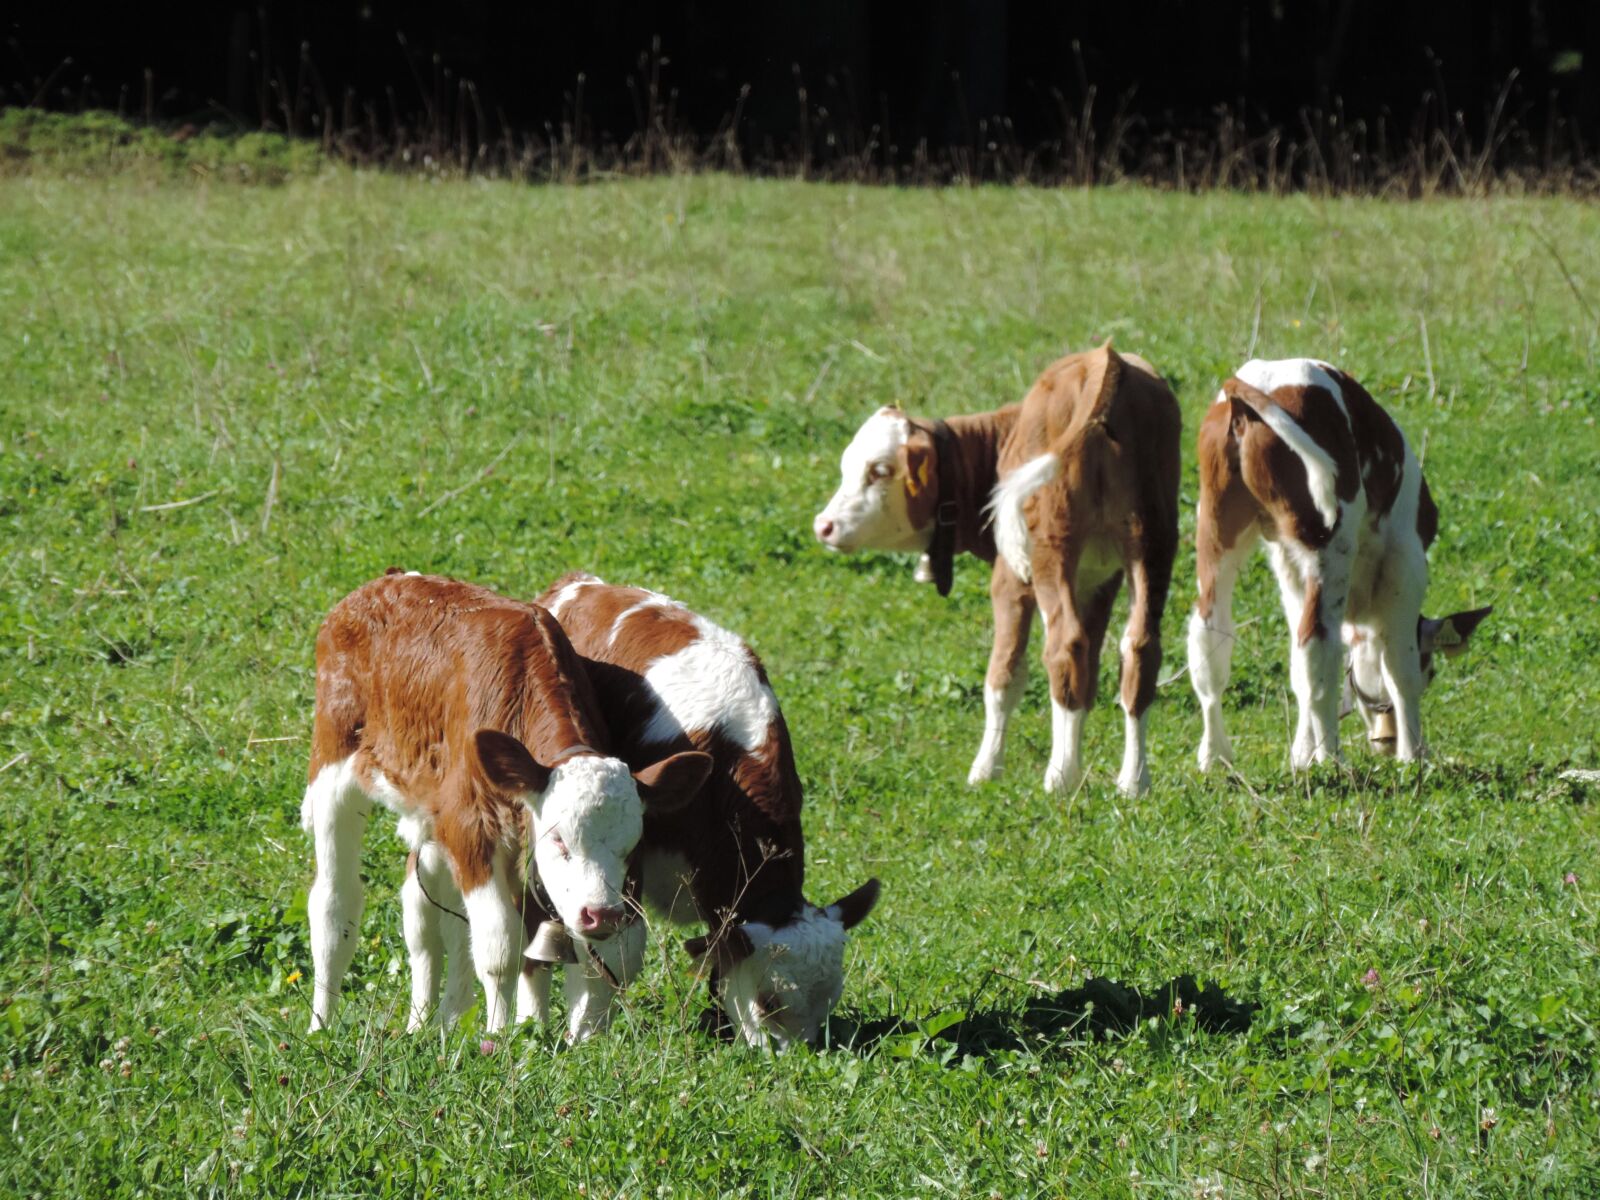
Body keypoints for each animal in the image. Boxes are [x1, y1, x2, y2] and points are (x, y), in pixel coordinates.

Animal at [304, 569, 707, 1036]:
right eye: (559, 840)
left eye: (633, 846)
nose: (602, 914)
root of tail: (386, 581)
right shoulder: (469, 828)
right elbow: (500, 948)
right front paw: (499, 1037)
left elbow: (586, 956)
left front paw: (567, 1035)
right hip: (334, 765)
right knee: (335, 903)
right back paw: (322, 1026)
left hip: (428, 818)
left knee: (427, 919)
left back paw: (432, 1023)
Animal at [819, 342, 1184, 800]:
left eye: (879, 470)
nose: (823, 525)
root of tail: (1106, 361)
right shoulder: (1099, 579)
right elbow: (1088, 678)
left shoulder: (1010, 578)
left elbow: (1003, 676)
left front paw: (986, 769)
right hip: (1152, 541)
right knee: (1139, 649)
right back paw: (1134, 781)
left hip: (1048, 549)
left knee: (1063, 646)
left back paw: (1059, 778)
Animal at [1184, 360, 1491, 771]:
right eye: (1432, 671)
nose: (1386, 741)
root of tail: (1256, 382)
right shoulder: (1406, 563)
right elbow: (1400, 667)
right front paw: (1414, 755)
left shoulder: (1288, 569)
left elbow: (1297, 672)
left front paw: (1301, 756)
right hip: (1329, 542)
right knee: (1316, 642)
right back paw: (1333, 758)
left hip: (1216, 528)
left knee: (1211, 637)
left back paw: (1215, 756)